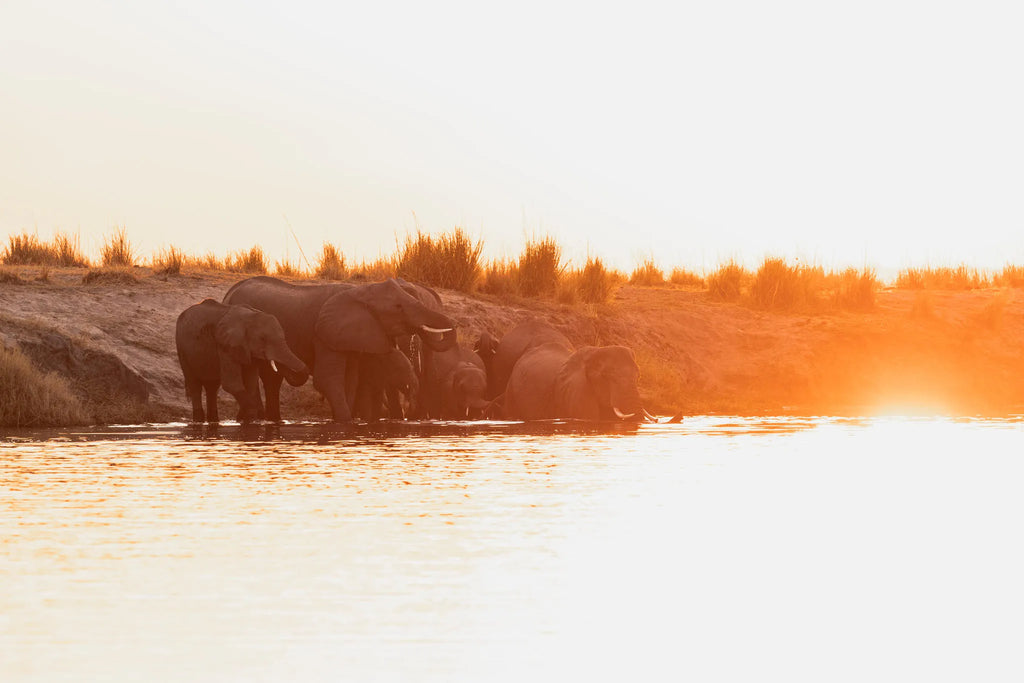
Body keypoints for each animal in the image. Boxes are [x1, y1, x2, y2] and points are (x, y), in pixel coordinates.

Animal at [175, 299, 309, 423]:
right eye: (262, 339)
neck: (250, 317)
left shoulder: (247, 350)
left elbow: (250, 383)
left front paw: (247, 421)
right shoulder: (225, 346)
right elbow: (231, 384)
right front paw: (251, 419)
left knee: (212, 387)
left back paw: (213, 421)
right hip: (182, 349)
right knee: (194, 385)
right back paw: (198, 421)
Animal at [223, 276, 456, 422]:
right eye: (398, 308)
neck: (361, 292)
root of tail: (230, 292)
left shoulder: (349, 336)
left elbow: (350, 380)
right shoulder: (324, 334)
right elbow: (327, 379)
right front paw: (345, 422)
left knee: (271, 379)